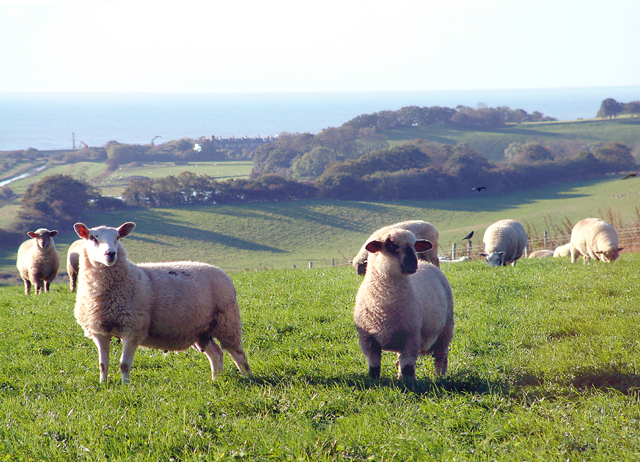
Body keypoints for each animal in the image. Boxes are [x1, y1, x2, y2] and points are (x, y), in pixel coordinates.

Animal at [71, 220, 249, 382]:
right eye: (93, 238)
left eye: (117, 238)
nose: (111, 254)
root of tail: (221, 271)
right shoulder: (98, 331)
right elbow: (103, 364)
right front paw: (103, 385)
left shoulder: (133, 329)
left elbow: (124, 364)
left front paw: (125, 387)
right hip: (202, 329)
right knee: (216, 354)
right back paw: (216, 380)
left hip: (227, 322)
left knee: (238, 354)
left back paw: (249, 378)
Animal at [352, 226, 452, 380]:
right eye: (391, 245)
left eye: (414, 245)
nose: (413, 264)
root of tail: (426, 263)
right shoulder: (368, 341)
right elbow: (374, 368)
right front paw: (374, 381)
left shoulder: (411, 339)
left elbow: (408, 369)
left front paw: (409, 383)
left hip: (445, 330)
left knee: (441, 357)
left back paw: (440, 377)